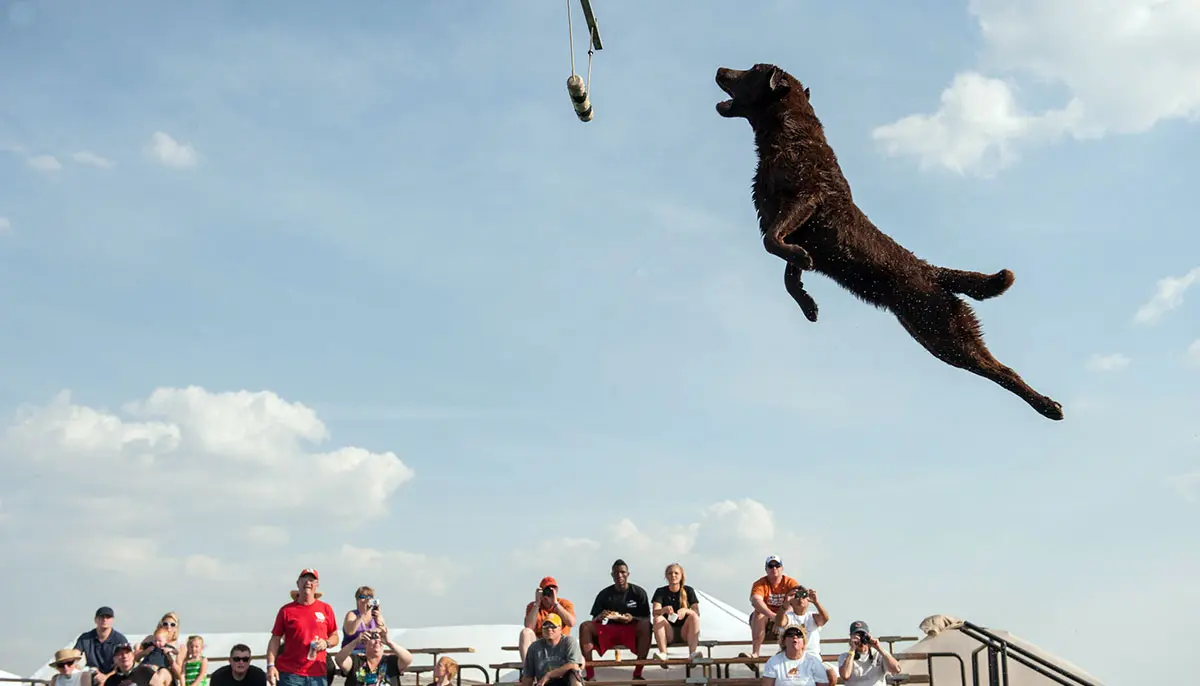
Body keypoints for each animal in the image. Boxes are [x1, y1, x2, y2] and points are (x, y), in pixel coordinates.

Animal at [710, 64, 1060, 419]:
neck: (788, 134)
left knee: (1002, 370)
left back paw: (1049, 407)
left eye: (752, 70)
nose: (720, 69)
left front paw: (803, 264)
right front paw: (808, 304)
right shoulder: (793, 225)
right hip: (931, 334)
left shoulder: (805, 200)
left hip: (948, 333)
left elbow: (773, 242)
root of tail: (933, 271)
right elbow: (788, 273)